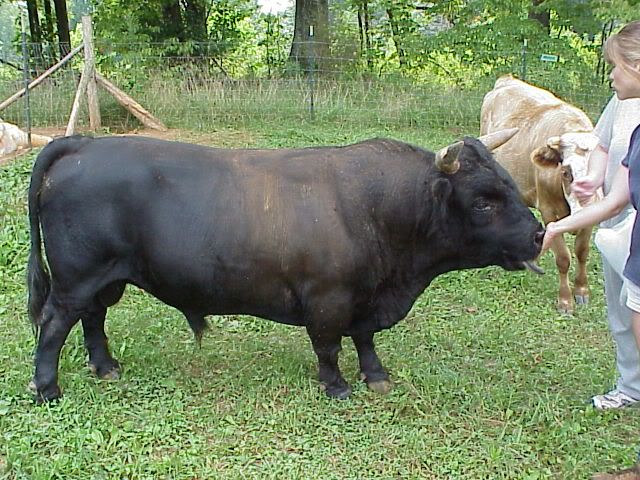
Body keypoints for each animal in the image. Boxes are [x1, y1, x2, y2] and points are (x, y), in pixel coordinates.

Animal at [27, 131, 544, 403]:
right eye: (483, 202)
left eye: (509, 184)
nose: (539, 234)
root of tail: (84, 143)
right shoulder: (328, 298)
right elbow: (329, 346)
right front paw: (336, 386)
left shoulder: (365, 297)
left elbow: (364, 338)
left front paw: (375, 375)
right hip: (76, 277)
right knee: (55, 324)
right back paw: (48, 387)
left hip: (102, 279)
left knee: (93, 317)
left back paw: (105, 367)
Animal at [480, 75, 600, 314]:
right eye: (566, 172)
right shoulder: (549, 212)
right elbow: (563, 258)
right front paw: (565, 300)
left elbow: (582, 251)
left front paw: (582, 291)